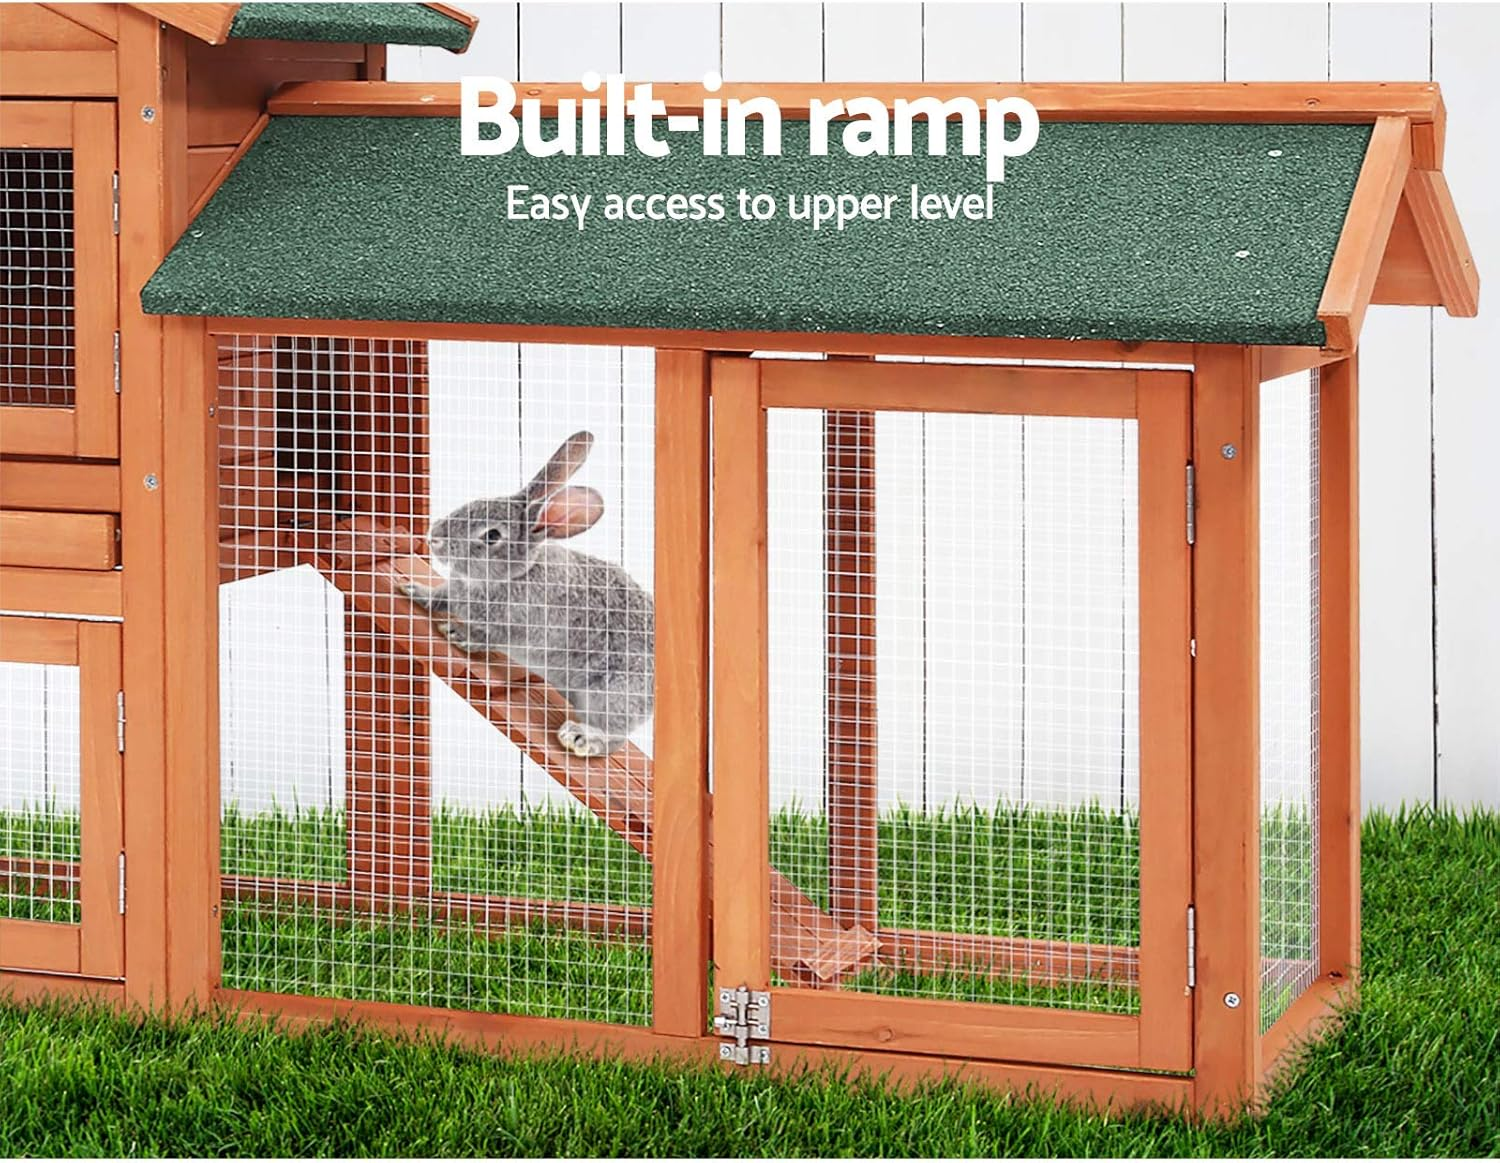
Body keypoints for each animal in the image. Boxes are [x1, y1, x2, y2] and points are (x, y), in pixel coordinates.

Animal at [399, 431, 654, 759]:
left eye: (492, 536)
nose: (435, 538)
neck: (515, 574)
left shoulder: (522, 629)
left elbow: (491, 636)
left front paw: (459, 633)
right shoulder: (454, 591)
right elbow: (440, 597)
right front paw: (412, 590)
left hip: (613, 690)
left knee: (615, 736)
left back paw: (581, 737)